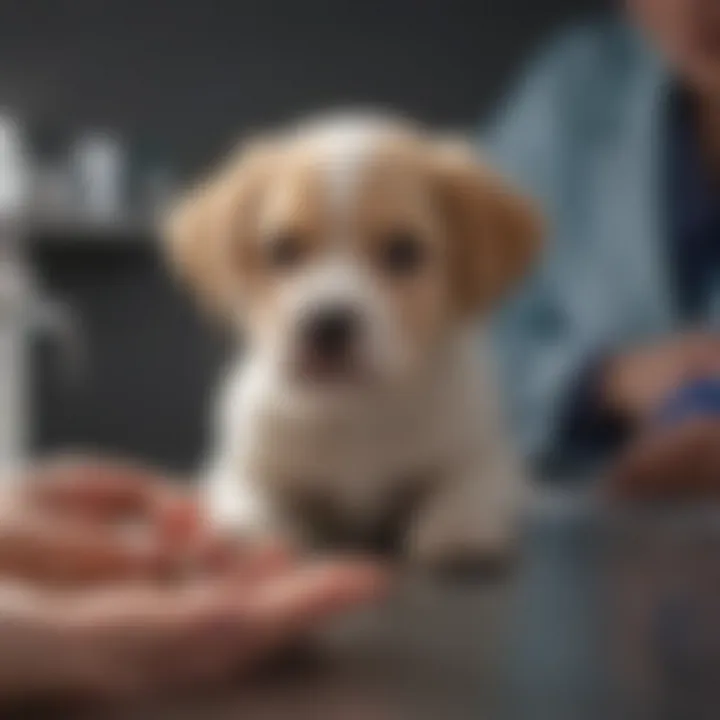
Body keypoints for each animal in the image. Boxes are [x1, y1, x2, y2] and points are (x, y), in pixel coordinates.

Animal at [166, 114, 544, 568]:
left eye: (404, 250)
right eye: (282, 248)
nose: (327, 324)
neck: (353, 407)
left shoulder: (484, 454)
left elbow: (469, 487)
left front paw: (459, 528)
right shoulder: (241, 465)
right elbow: (251, 499)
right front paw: (249, 534)